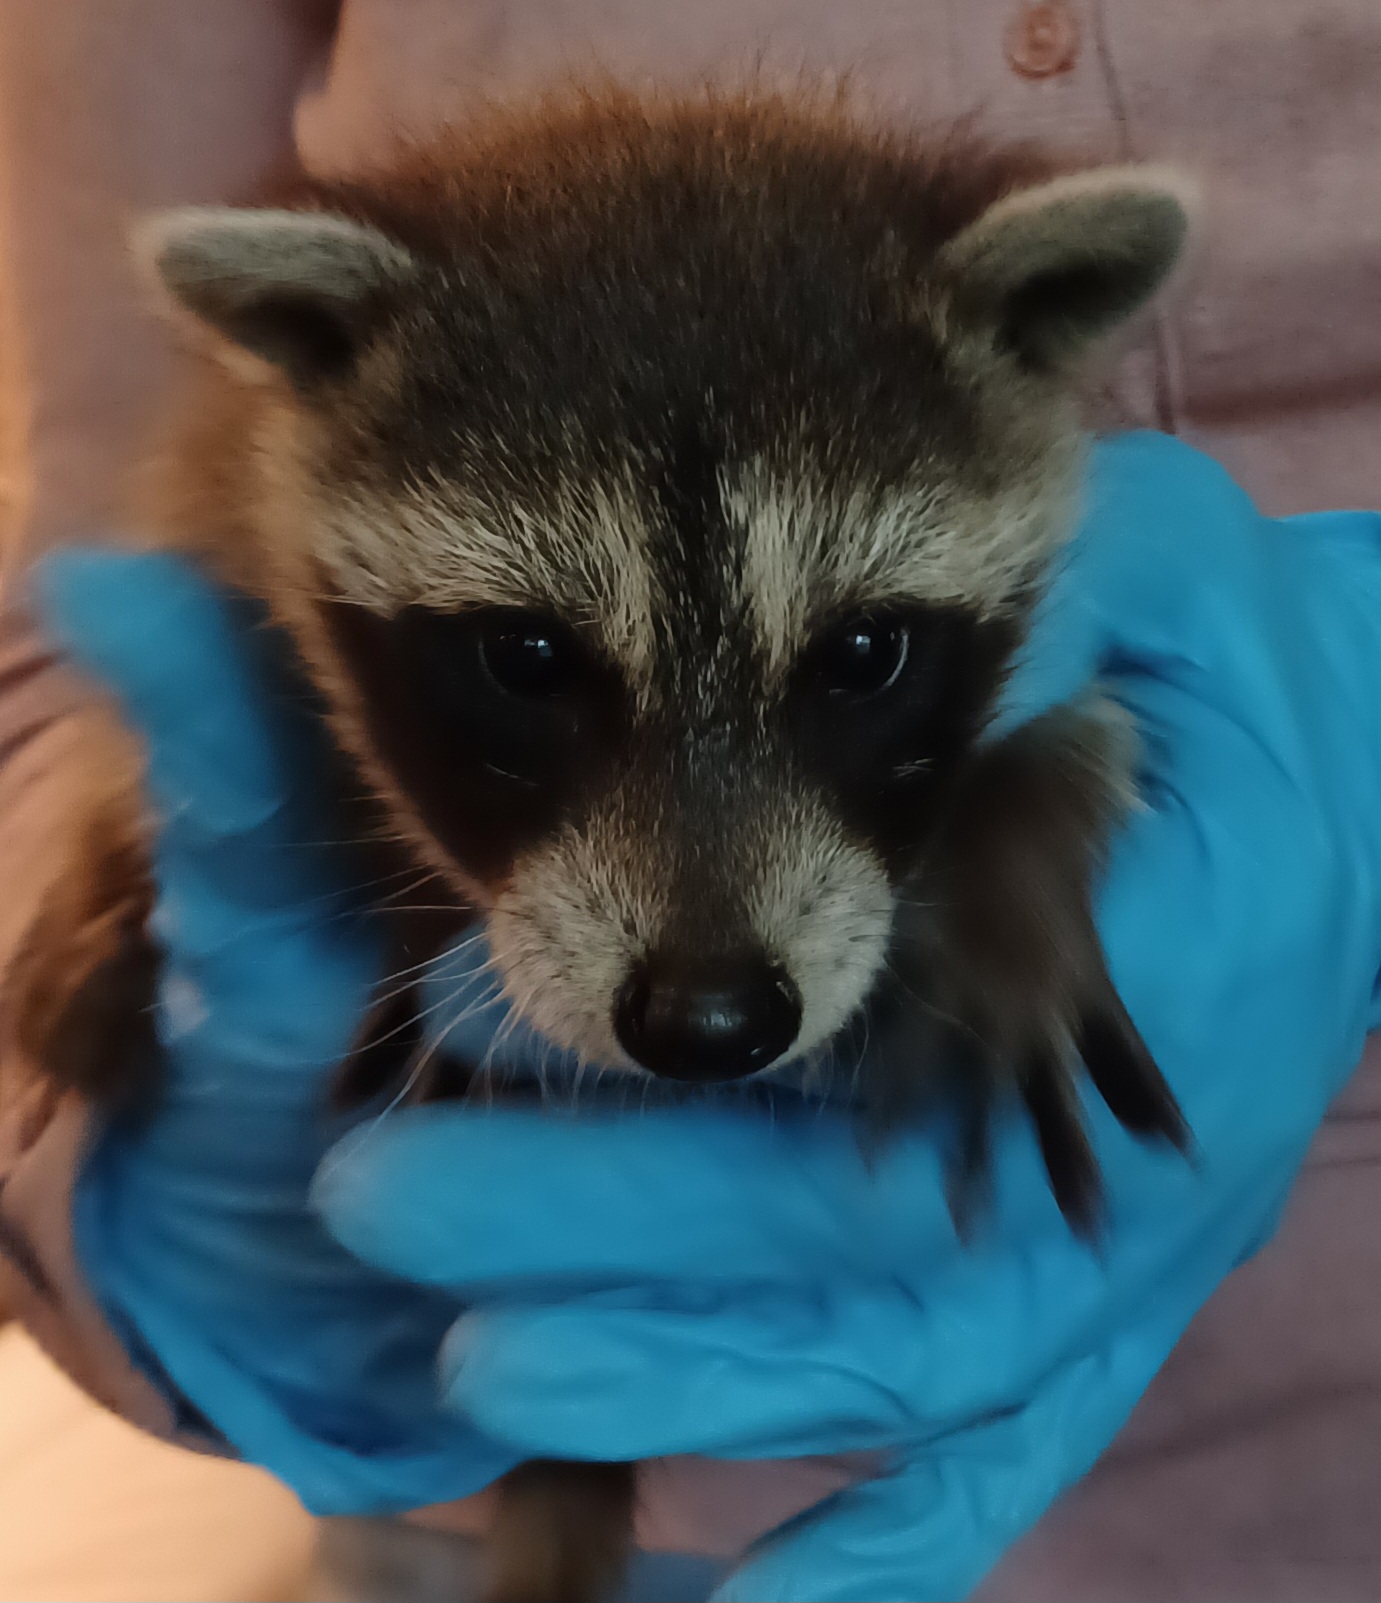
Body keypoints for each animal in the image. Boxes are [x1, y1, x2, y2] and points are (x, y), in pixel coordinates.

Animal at [9, 88, 1194, 1602]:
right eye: (526, 659)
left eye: (864, 654)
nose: (710, 1017)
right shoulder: (220, 479)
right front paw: (107, 852)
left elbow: (1088, 725)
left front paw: (1014, 852)